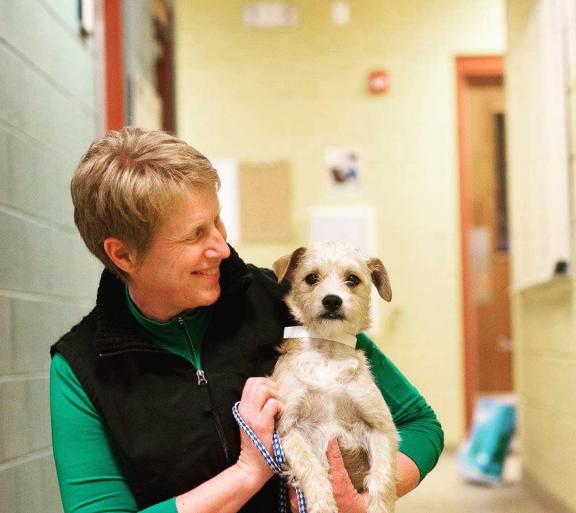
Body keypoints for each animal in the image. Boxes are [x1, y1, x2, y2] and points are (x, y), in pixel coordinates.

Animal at [272, 241, 398, 512]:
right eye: (311, 278)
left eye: (352, 279)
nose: (332, 300)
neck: (327, 352)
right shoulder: (287, 430)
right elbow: (311, 468)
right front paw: (322, 504)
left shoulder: (380, 427)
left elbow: (382, 478)